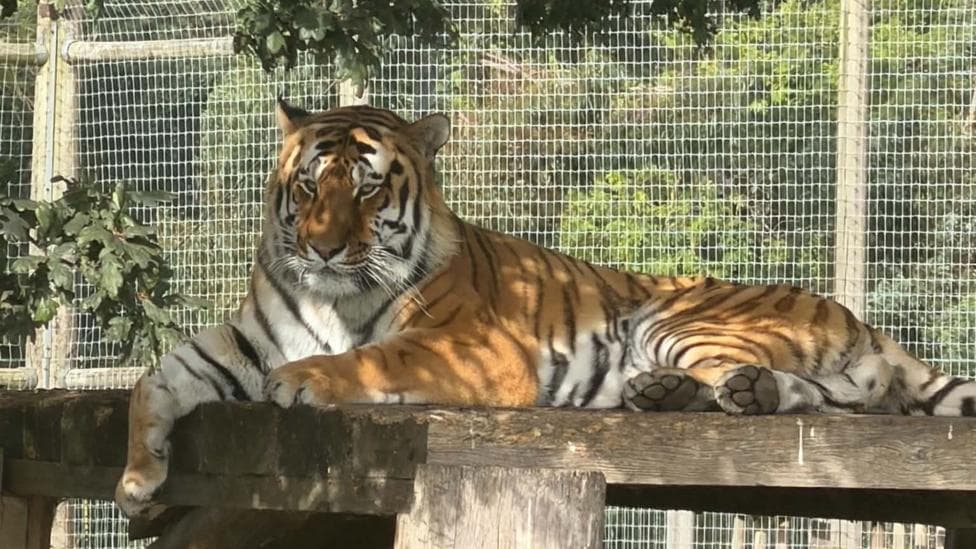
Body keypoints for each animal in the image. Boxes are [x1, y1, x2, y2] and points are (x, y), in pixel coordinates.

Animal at [115, 100, 976, 517]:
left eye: (366, 188)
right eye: (306, 186)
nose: (323, 249)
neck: (326, 293)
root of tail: (858, 317)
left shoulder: (474, 348)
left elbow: (373, 354)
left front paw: (307, 379)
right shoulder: (241, 339)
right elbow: (154, 378)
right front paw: (136, 477)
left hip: (676, 318)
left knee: (831, 394)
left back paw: (711, 392)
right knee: (839, 396)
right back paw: (680, 394)